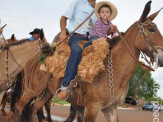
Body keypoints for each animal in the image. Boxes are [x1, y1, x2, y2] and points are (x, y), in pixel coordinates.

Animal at [7, 1, 163, 122]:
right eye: (151, 29)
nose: (161, 57)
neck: (112, 70)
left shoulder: (110, 109)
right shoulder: (92, 108)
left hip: (46, 93)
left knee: (33, 109)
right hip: (30, 90)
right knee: (17, 109)